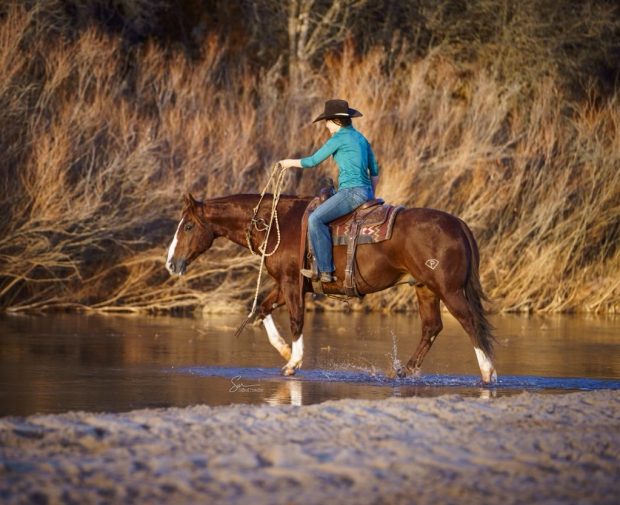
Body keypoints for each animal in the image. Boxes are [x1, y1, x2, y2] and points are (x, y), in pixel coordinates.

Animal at [167, 193, 496, 382]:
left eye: (188, 226)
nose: (171, 263)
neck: (278, 224)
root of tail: (458, 224)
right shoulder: (286, 284)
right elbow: (261, 310)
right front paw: (284, 351)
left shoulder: (292, 283)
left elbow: (296, 320)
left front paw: (293, 363)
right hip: (424, 288)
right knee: (431, 327)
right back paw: (405, 371)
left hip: (448, 289)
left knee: (469, 322)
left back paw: (488, 373)